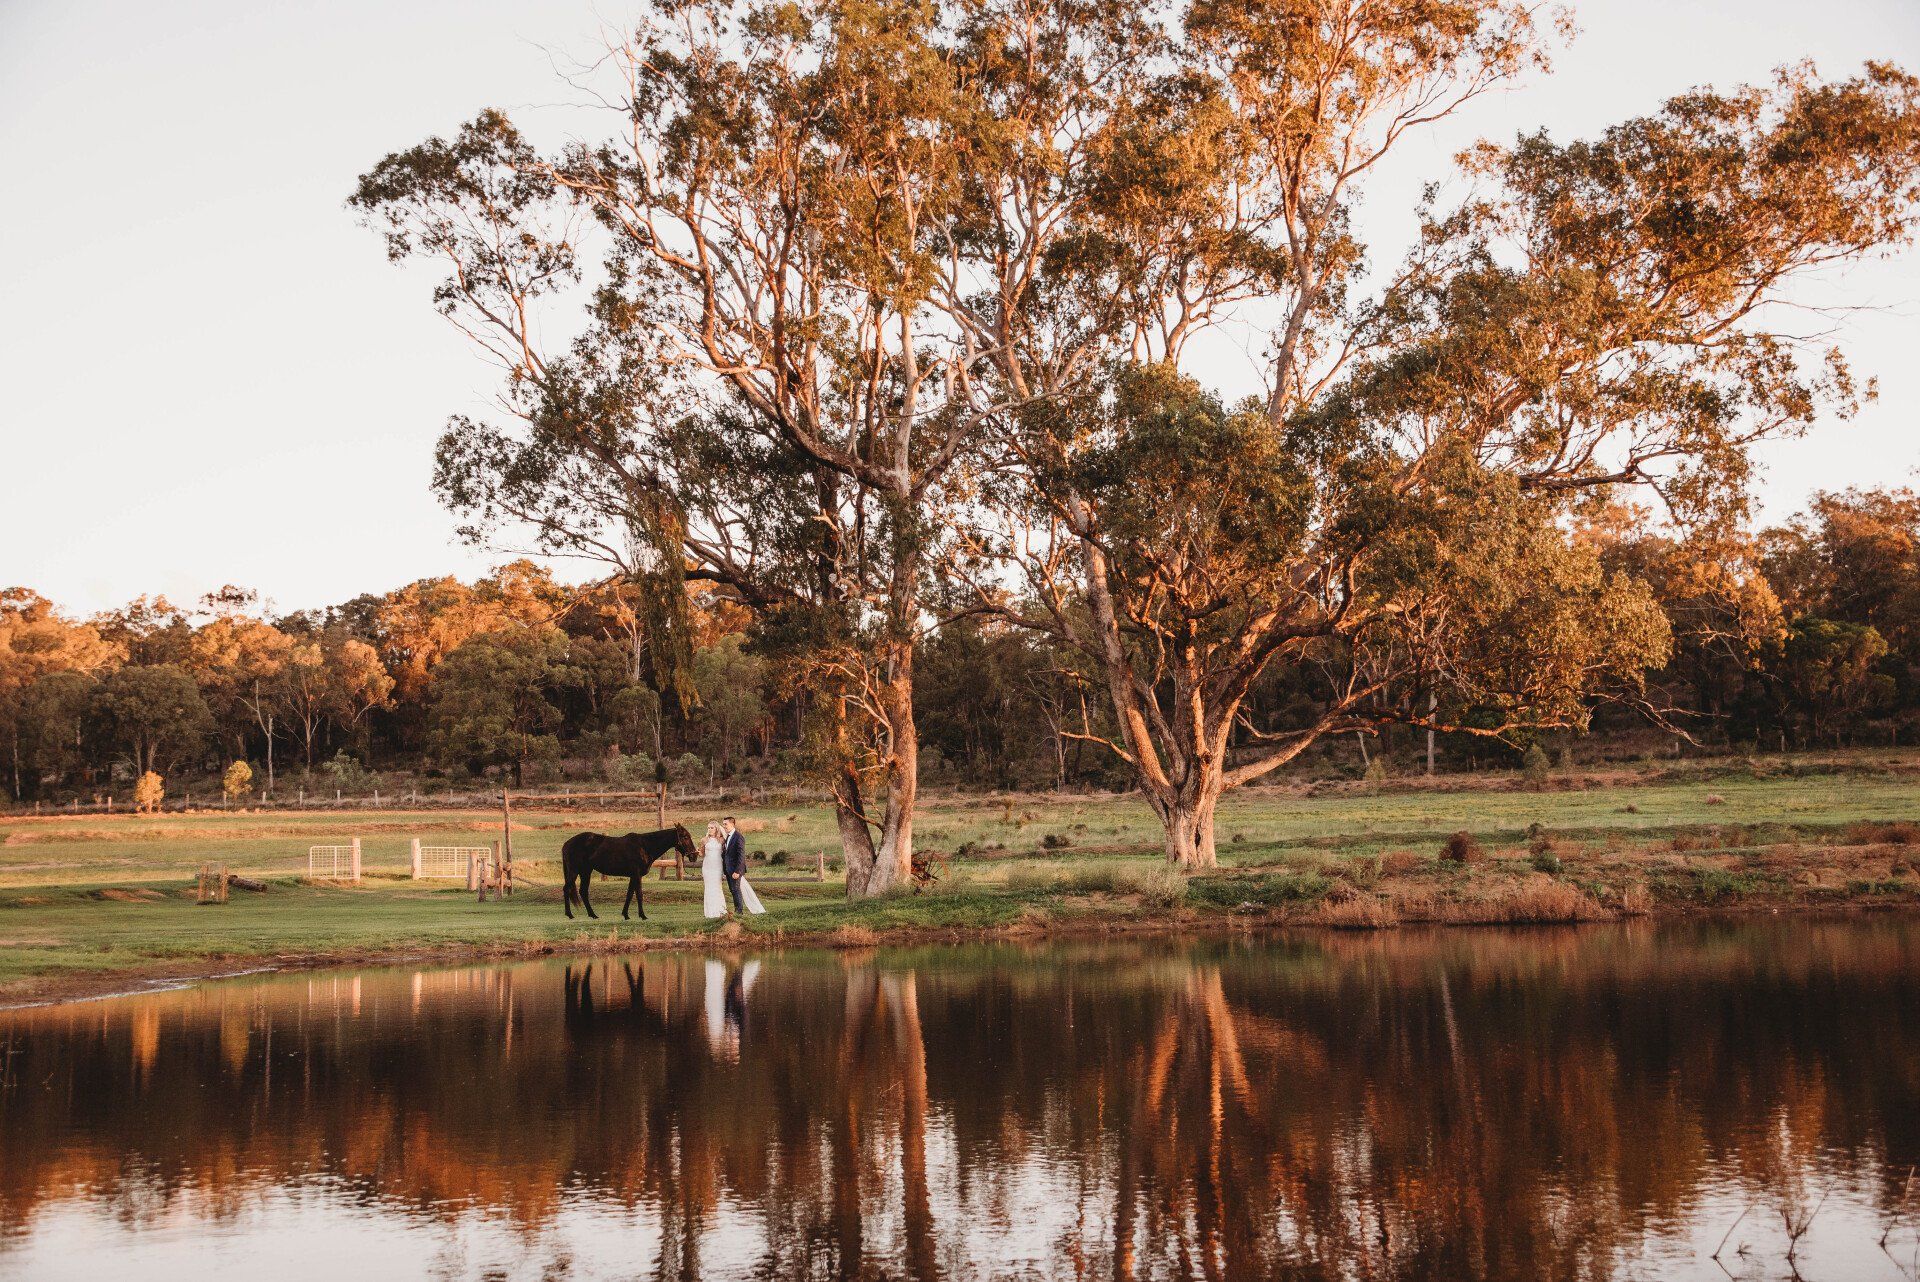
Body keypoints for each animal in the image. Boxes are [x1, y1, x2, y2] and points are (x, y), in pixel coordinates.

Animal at [561, 825, 697, 921]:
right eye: (685, 837)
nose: (694, 856)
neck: (645, 846)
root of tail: (566, 844)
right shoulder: (637, 875)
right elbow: (639, 894)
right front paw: (642, 916)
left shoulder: (633, 876)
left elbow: (629, 894)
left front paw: (626, 915)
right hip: (575, 871)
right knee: (567, 888)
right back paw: (570, 914)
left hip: (586, 871)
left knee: (583, 891)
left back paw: (592, 915)